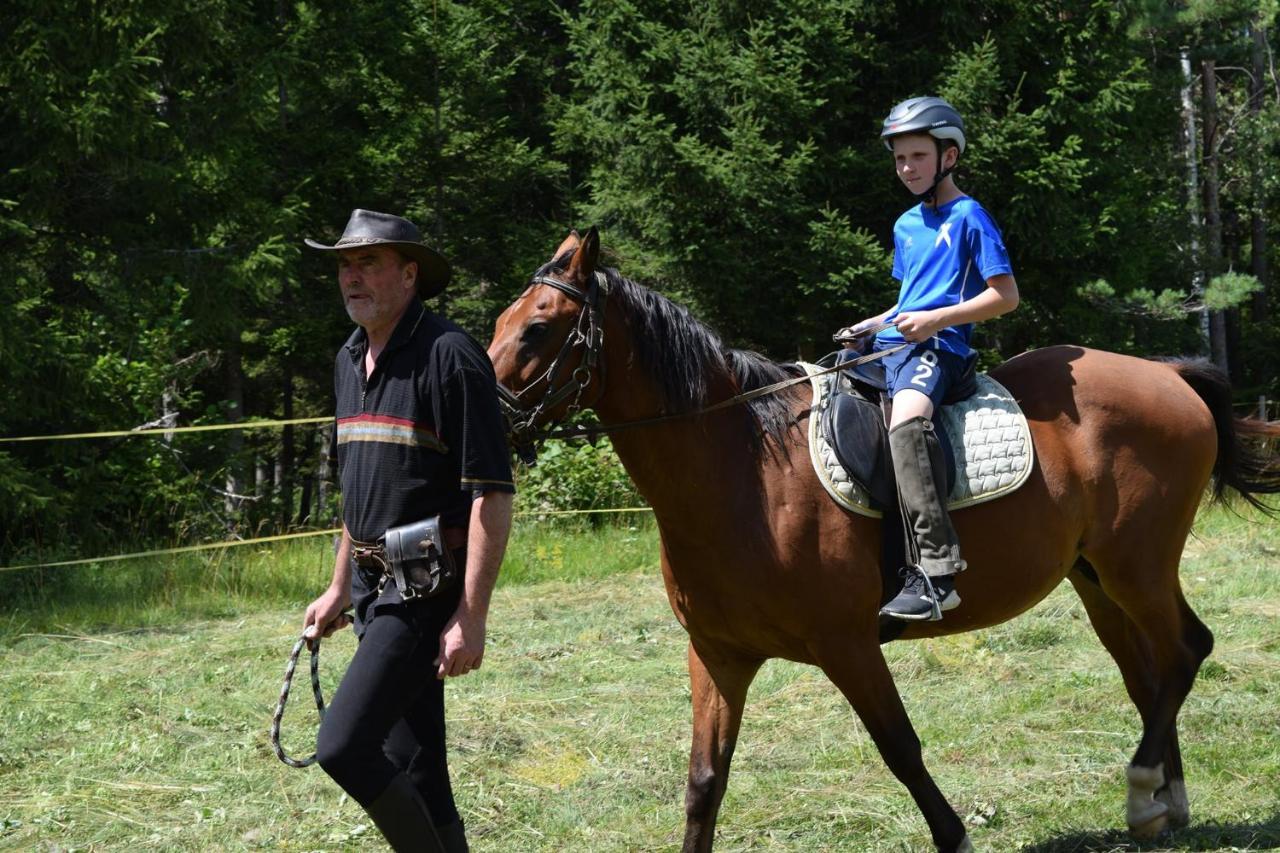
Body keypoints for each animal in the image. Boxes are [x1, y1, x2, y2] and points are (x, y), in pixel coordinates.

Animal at [483, 227, 1280, 850]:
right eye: (501, 321)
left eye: (538, 328)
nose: (479, 417)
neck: (744, 471)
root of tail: (1166, 376)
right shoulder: (717, 653)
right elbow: (704, 780)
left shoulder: (848, 645)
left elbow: (899, 748)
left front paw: (955, 835)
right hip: (1096, 577)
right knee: (1148, 672)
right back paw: (1164, 804)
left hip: (1135, 566)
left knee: (1186, 650)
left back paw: (1146, 790)